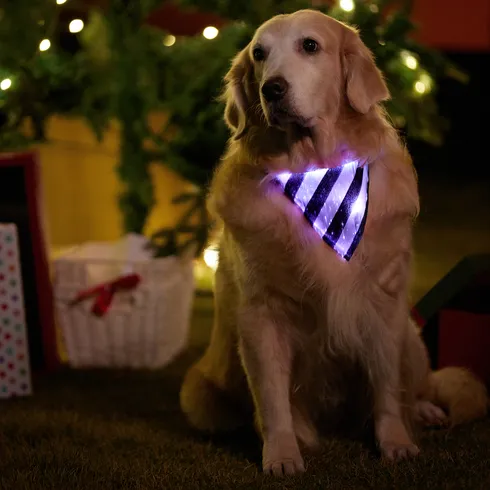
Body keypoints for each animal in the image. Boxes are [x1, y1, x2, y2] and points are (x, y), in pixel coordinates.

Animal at [179, 9, 486, 476]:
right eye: (259, 54)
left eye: (310, 46)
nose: (272, 88)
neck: (315, 170)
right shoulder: (260, 313)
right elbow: (273, 398)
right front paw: (283, 452)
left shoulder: (382, 303)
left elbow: (387, 386)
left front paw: (395, 441)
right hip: (199, 392)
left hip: (411, 337)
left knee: (418, 384)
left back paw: (425, 411)